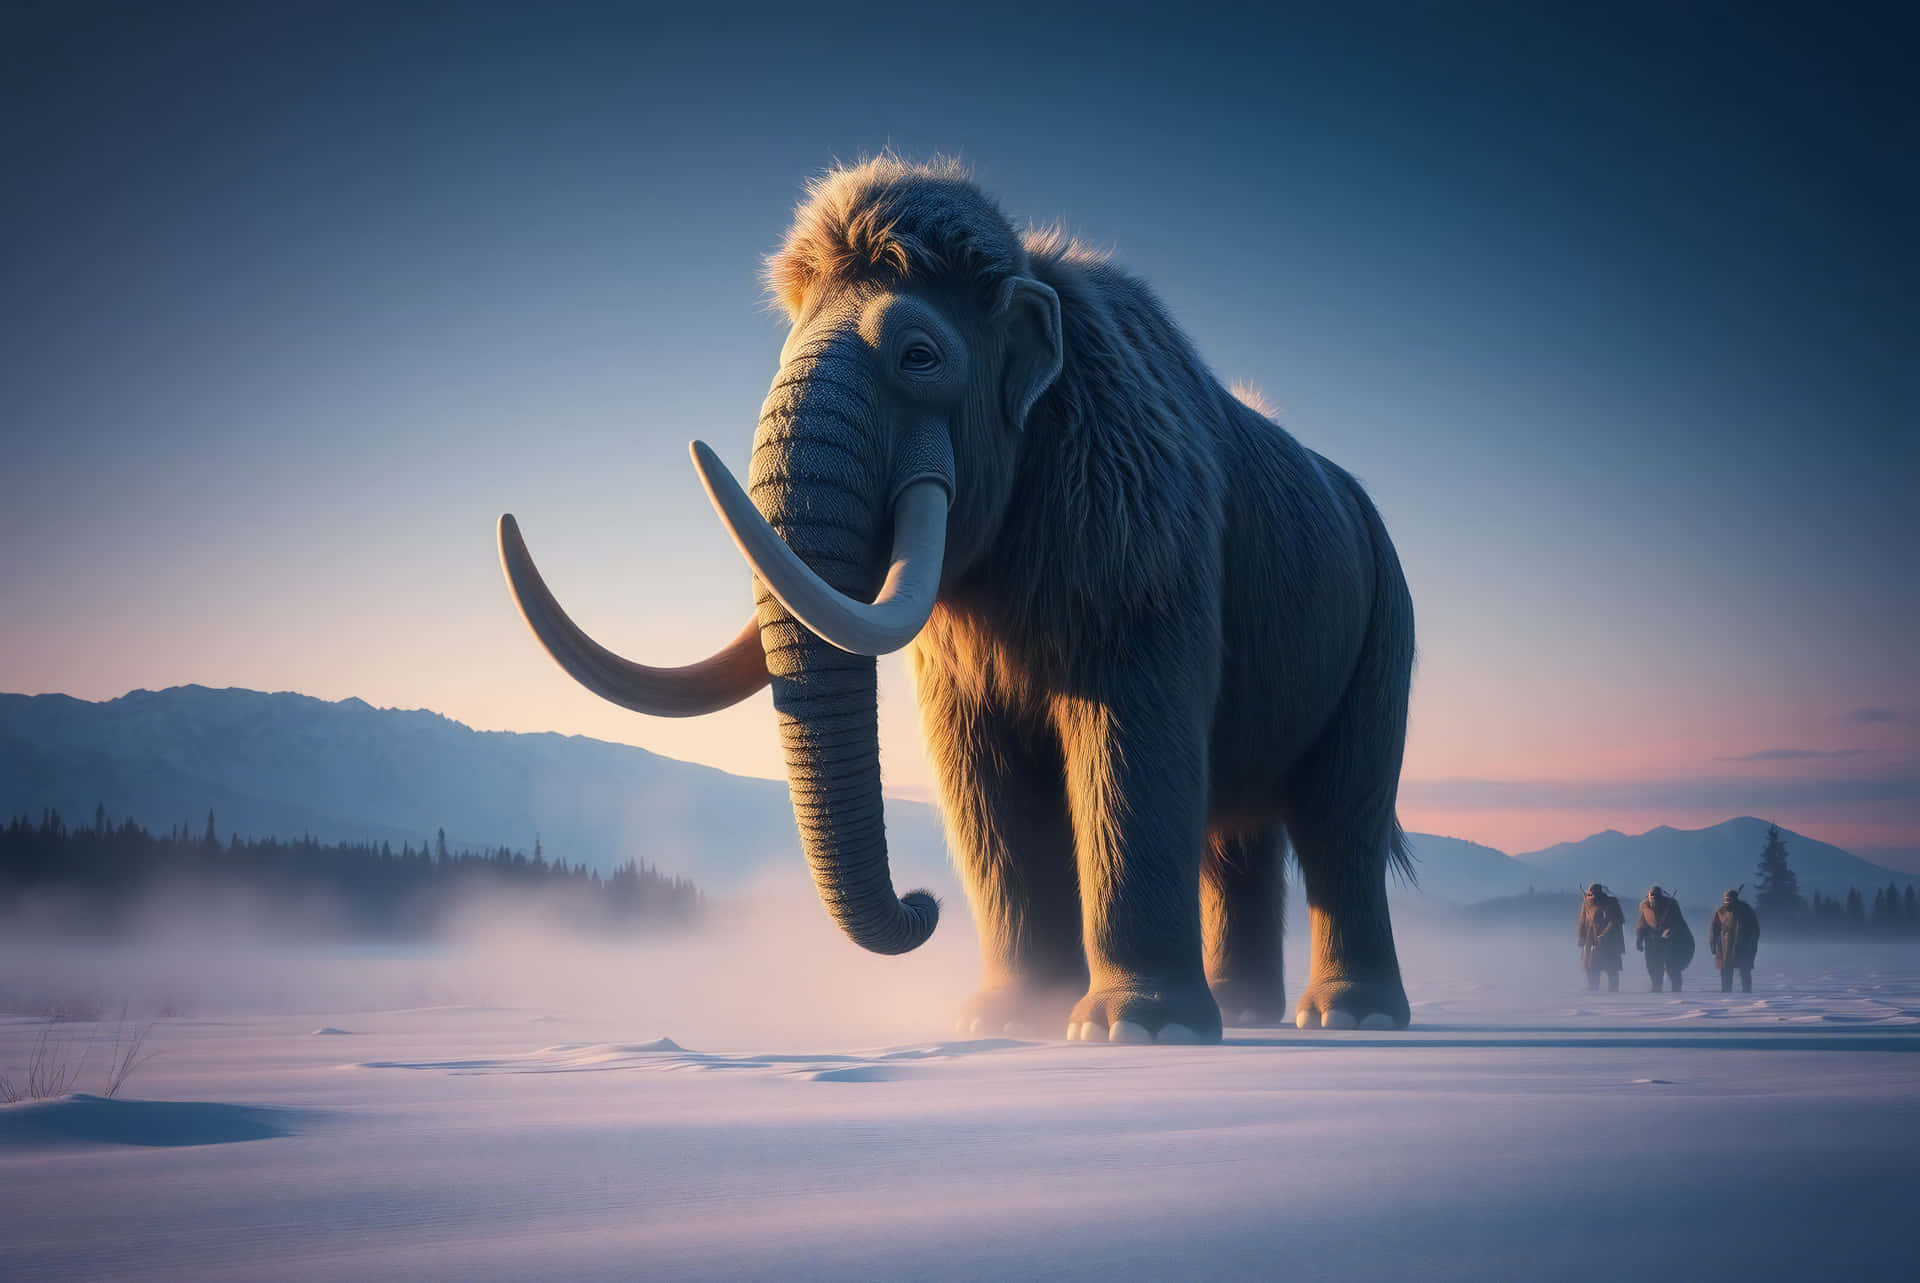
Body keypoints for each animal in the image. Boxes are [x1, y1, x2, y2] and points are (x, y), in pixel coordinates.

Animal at [497, 157, 1417, 1043]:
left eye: (919, 357)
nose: (921, 904)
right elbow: (986, 783)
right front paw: (1010, 1020)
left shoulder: (1143, 552)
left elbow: (1131, 756)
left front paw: (1137, 1030)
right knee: (1239, 838)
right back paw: (1252, 1011)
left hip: (1386, 629)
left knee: (1341, 821)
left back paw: (1351, 1016)